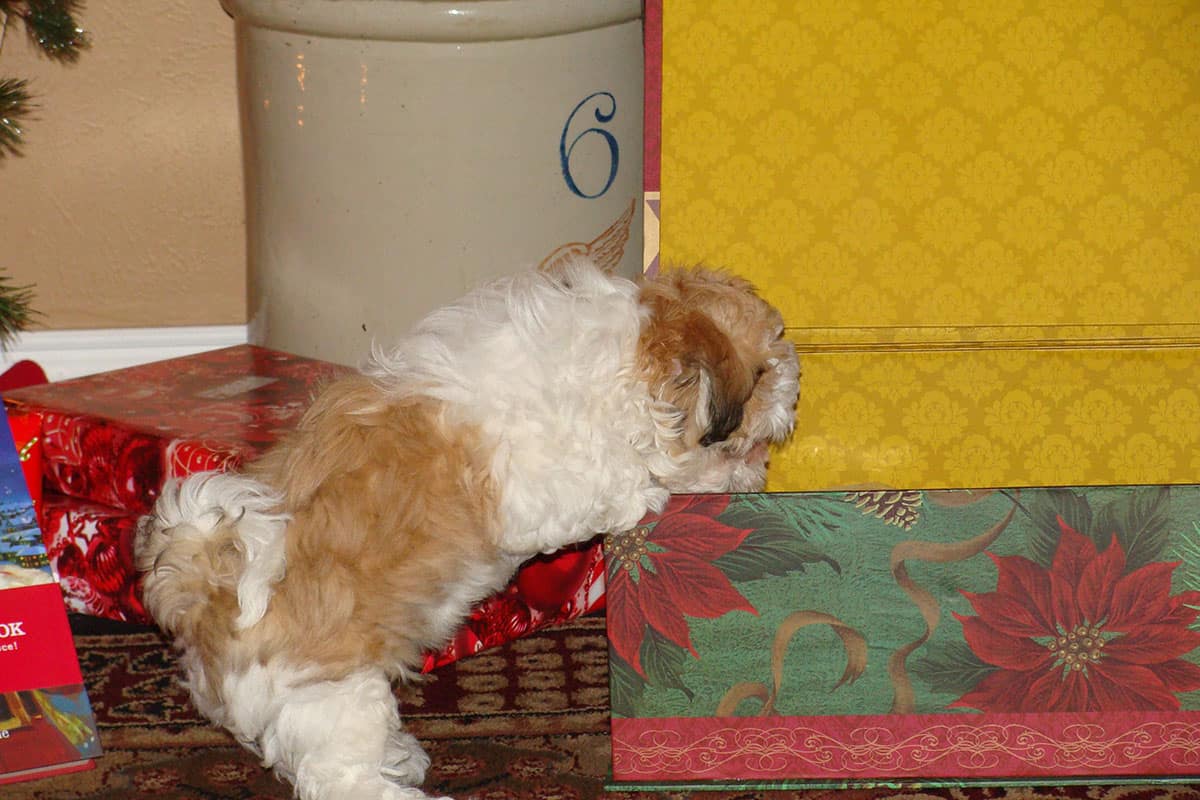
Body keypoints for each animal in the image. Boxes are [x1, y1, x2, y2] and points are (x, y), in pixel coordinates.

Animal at [136, 257, 801, 800]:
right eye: (747, 441)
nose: (759, 474)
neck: (620, 367)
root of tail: (210, 597)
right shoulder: (540, 484)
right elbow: (616, 478)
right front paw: (657, 486)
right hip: (331, 694)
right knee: (341, 778)